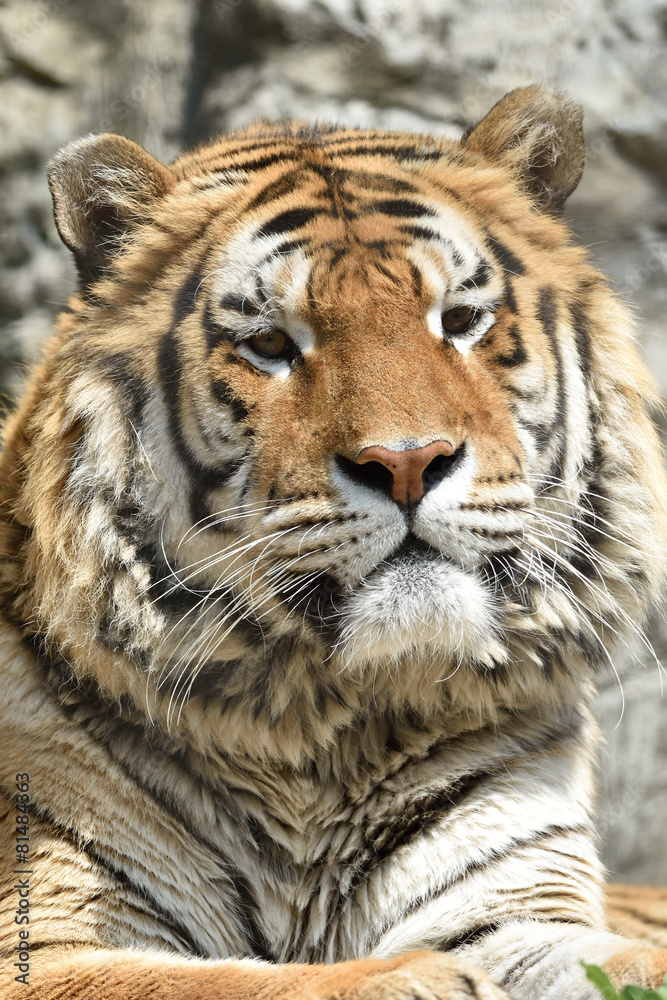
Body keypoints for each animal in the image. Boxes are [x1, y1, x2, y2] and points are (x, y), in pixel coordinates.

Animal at [1, 84, 666, 1000]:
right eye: (271, 344)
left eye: (460, 321)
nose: (408, 461)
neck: (324, 740)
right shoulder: (52, 943)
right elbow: (240, 981)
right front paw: (419, 979)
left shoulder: (519, 912)